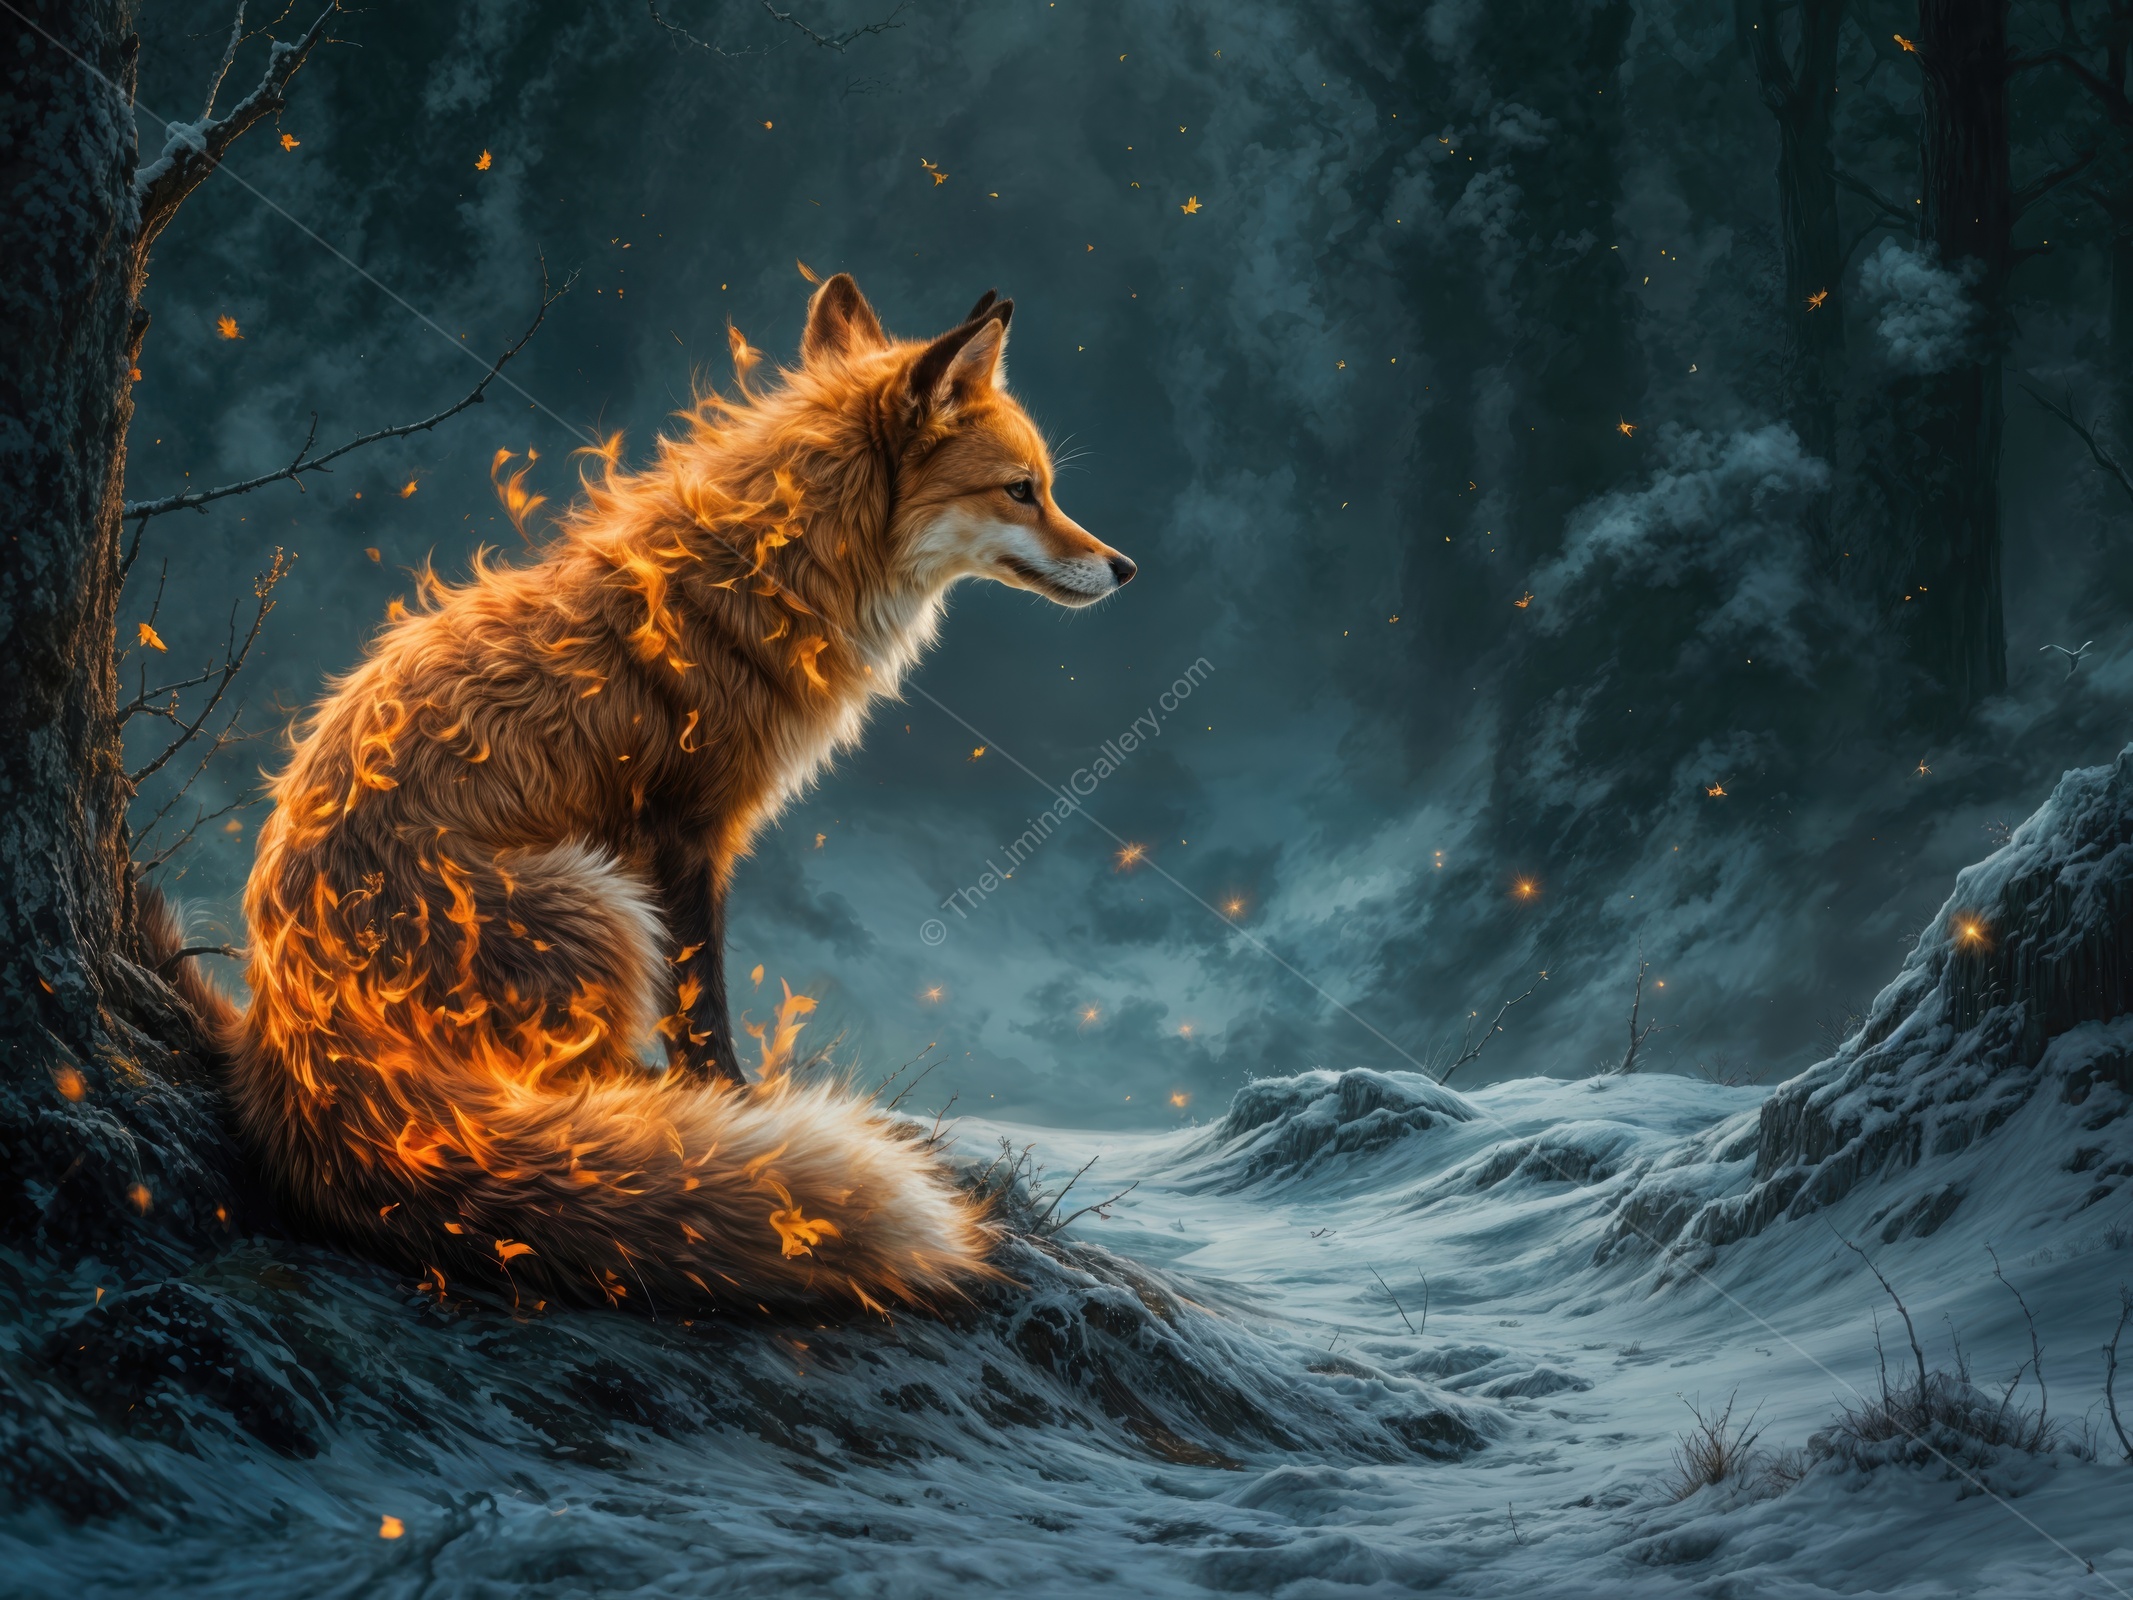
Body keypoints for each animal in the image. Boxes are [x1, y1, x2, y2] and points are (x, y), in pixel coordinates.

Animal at [200, 276, 1135, 1315]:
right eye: (1022, 490)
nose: (1124, 567)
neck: (765, 575)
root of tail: (293, 1033)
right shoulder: (685, 830)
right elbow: (703, 1006)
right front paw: (732, 1105)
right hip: (601, 908)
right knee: (564, 1090)